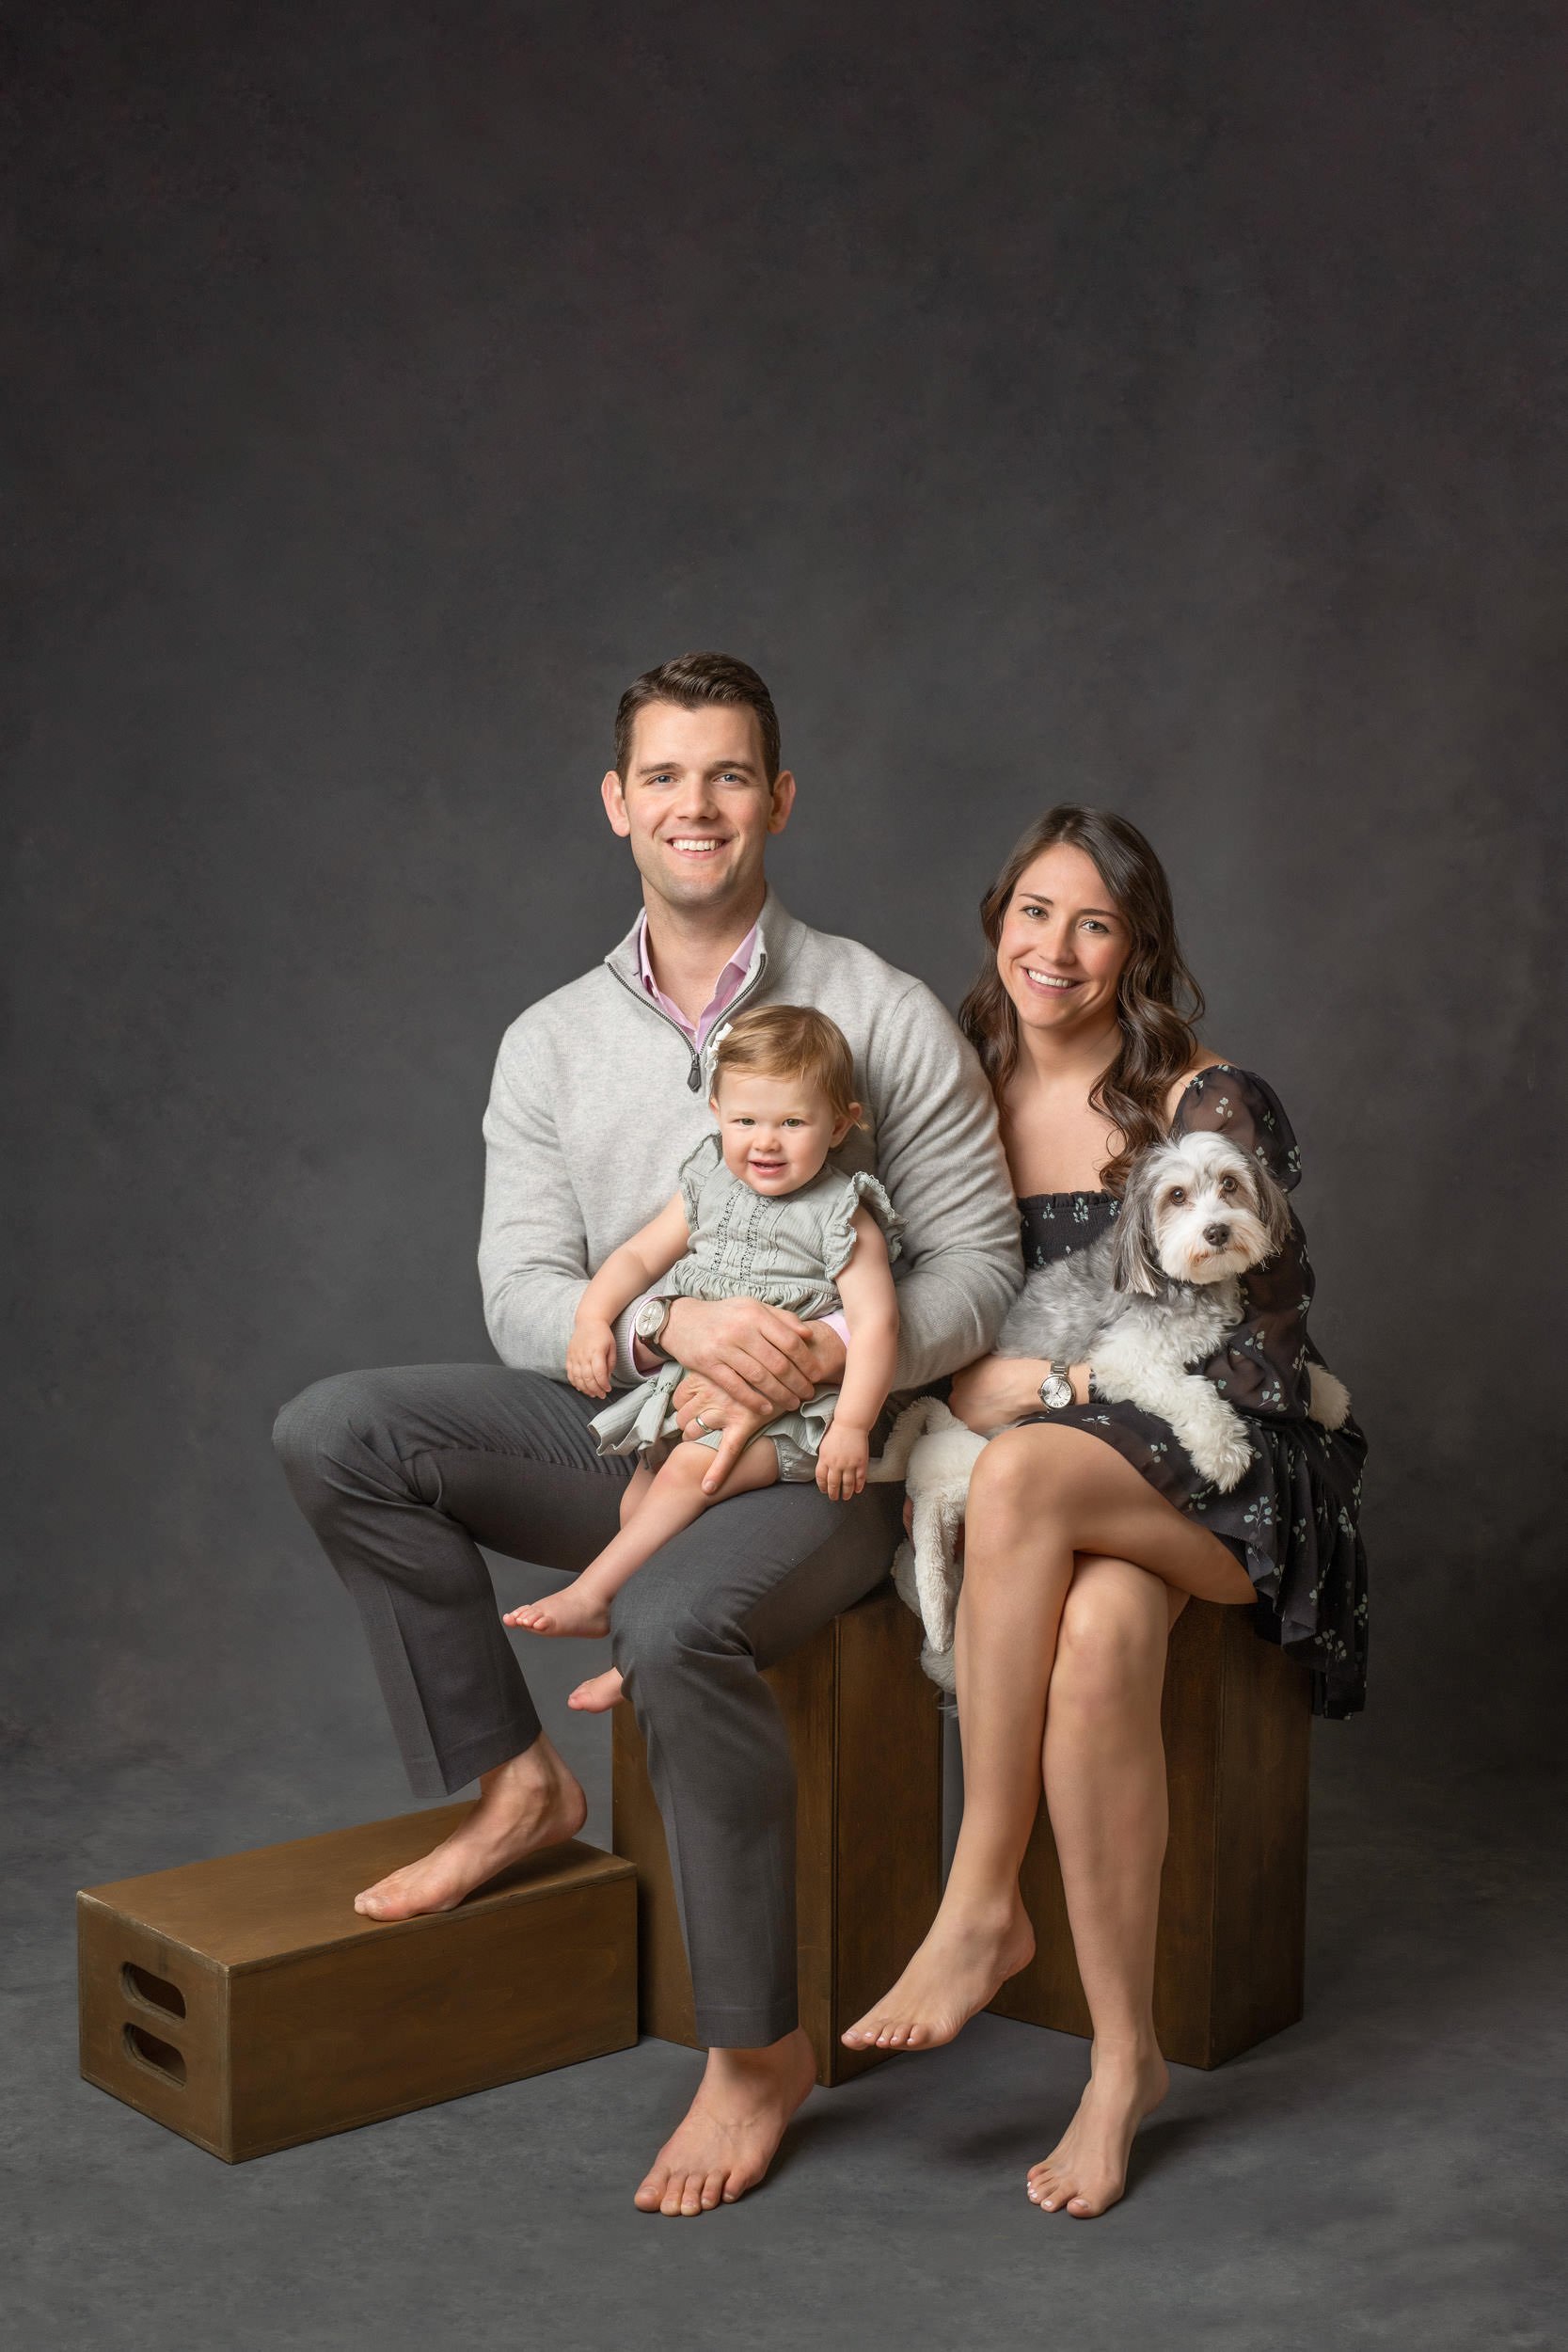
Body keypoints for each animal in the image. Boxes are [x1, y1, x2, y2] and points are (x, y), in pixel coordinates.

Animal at [869, 1124, 1354, 1693]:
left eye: (1230, 1184)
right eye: (1176, 1197)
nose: (1216, 1231)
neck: (1183, 1287)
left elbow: (1282, 1370)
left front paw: (1327, 1394)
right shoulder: (1126, 1360)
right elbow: (1194, 1391)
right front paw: (1224, 1451)